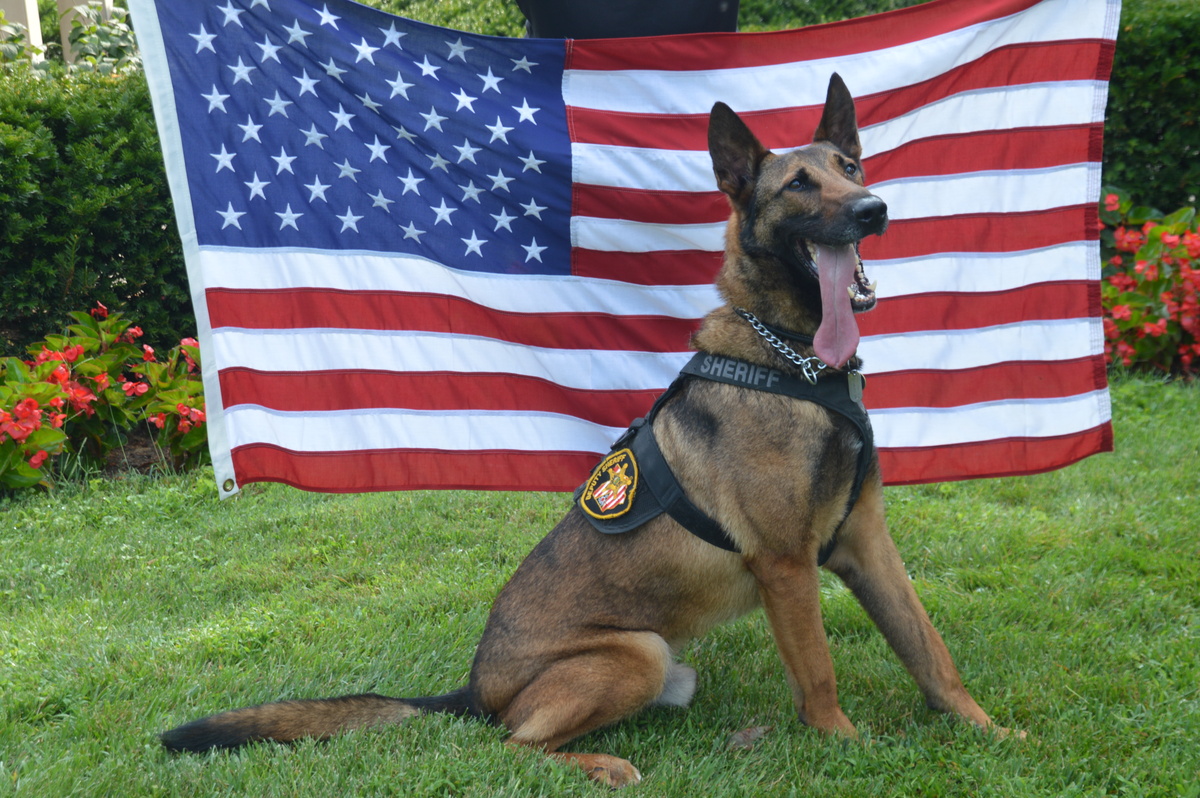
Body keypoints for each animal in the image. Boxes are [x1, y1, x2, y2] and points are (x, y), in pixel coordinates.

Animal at [157, 74, 1003, 782]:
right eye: (800, 185)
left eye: (850, 169)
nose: (874, 210)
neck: (793, 361)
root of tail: (473, 690)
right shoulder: (788, 565)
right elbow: (820, 675)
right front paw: (847, 748)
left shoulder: (866, 544)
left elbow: (931, 651)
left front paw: (990, 732)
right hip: (636, 654)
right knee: (510, 748)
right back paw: (603, 766)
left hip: (663, 667)